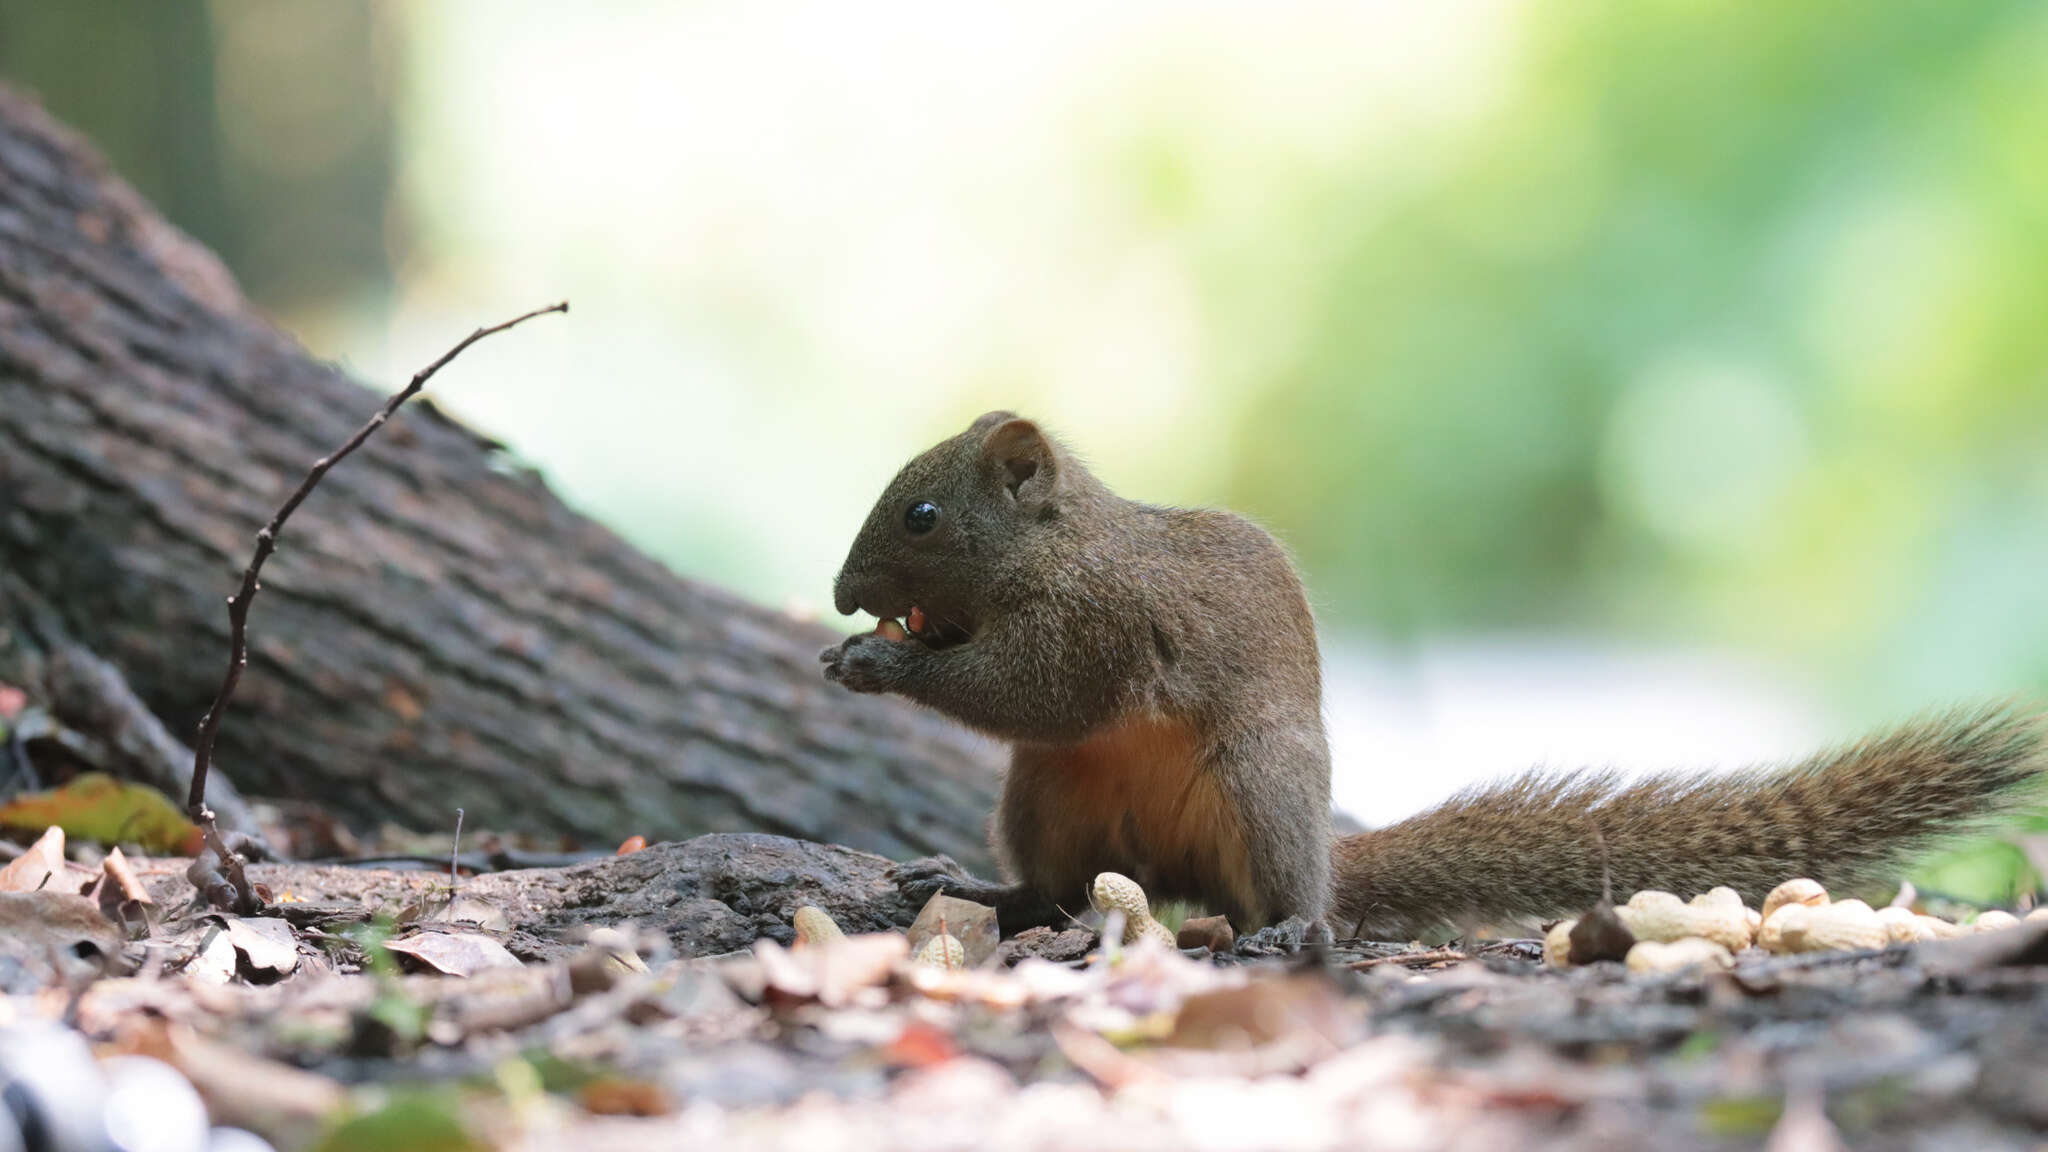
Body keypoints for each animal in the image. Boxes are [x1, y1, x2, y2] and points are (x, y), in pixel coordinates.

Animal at [819, 412, 2048, 942]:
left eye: (921, 514)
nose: (838, 596)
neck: (1062, 548)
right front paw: (864, 646)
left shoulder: (1103, 625)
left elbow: (1033, 692)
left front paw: (879, 659)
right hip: (1048, 801)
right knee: (1061, 890)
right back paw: (995, 897)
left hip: (1256, 789)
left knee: (1284, 898)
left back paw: (1289, 929)